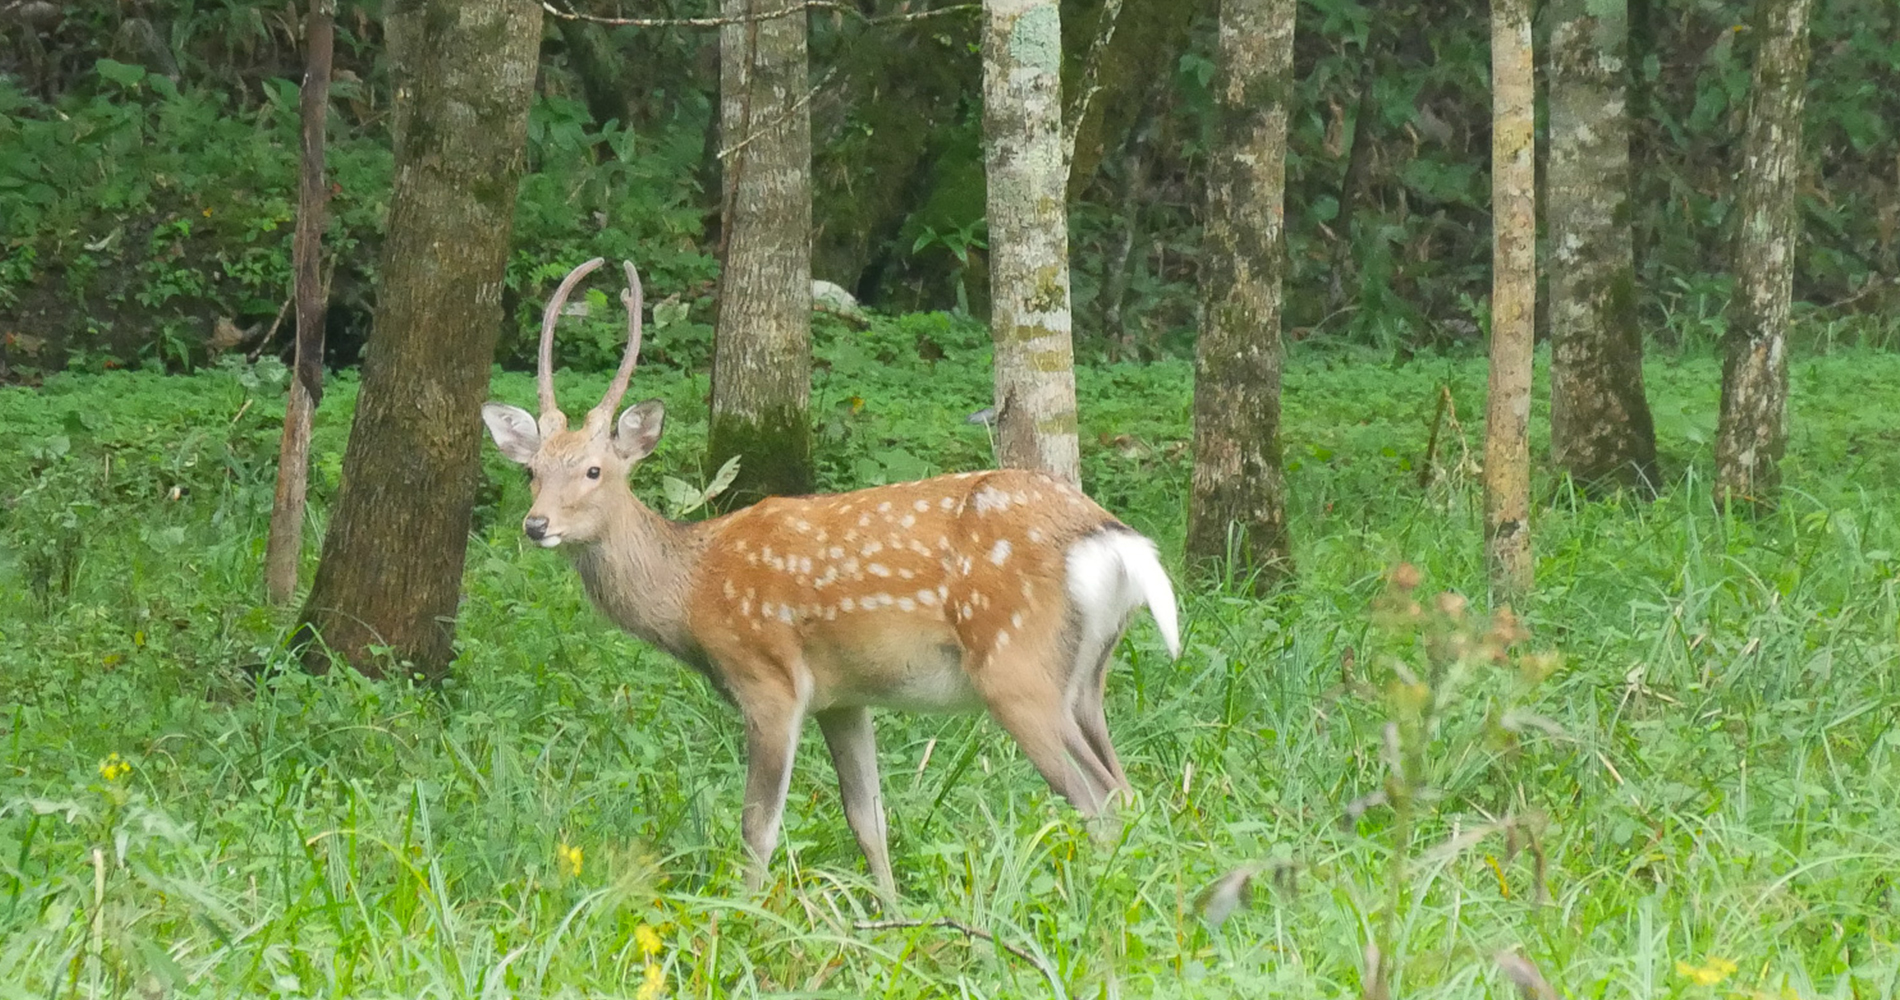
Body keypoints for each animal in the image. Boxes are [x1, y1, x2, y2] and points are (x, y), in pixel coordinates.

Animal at [482, 260, 1178, 901]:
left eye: (594, 470)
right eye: (532, 471)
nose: (536, 524)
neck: (693, 589)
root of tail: (1117, 541)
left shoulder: (769, 680)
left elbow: (758, 828)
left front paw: (745, 921)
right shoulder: (845, 697)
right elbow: (868, 819)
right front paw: (890, 918)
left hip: (1016, 664)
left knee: (1099, 798)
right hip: (1085, 678)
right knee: (1127, 788)